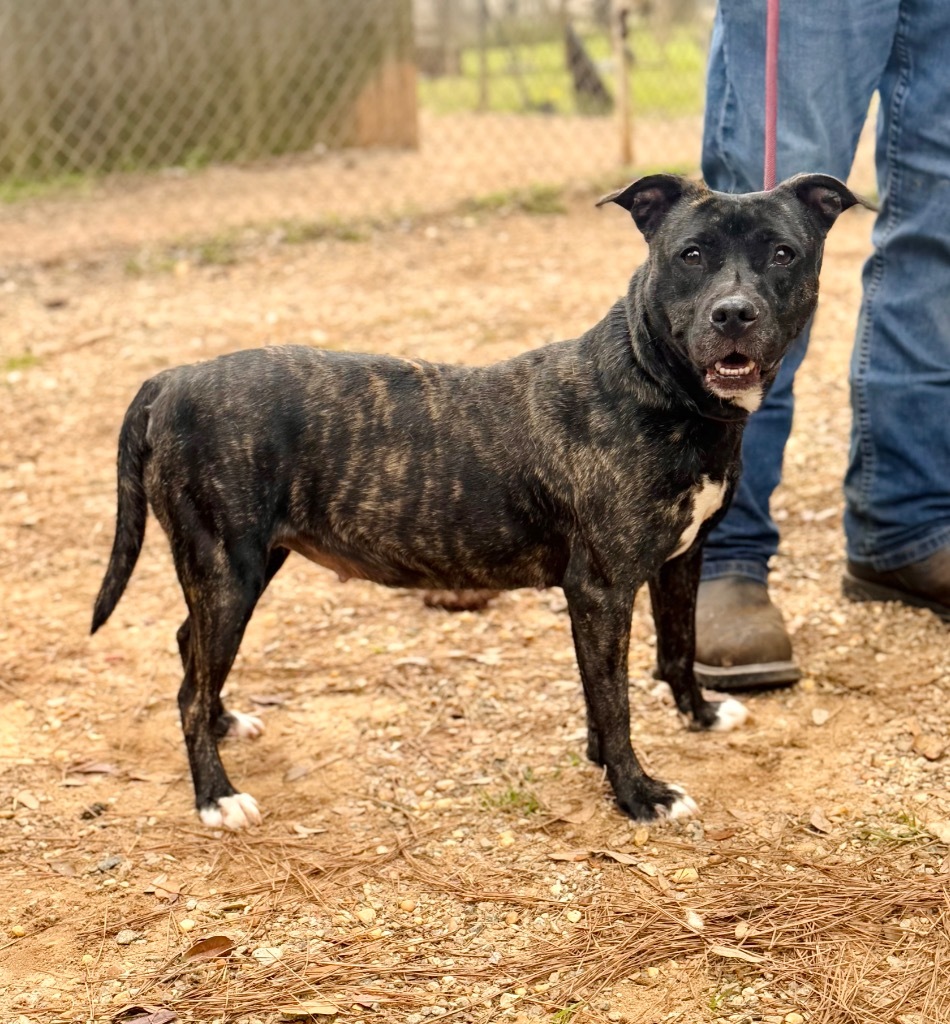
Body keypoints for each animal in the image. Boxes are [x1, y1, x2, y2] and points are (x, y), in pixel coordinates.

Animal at [91, 174, 868, 831]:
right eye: (692, 254)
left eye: (782, 253)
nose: (733, 314)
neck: (659, 386)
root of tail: (172, 379)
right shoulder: (602, 588)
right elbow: (615, 701)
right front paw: (637, 792)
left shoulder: (680, 559)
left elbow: (671, 651)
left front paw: (696, 717)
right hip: (228, 570)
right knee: (190, 688)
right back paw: (216, 796)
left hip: (243, 568)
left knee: (191, 650)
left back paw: (226, 725)